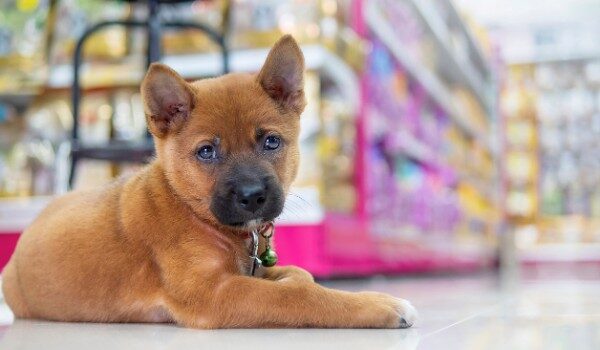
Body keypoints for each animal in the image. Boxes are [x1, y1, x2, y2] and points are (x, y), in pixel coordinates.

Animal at [2, 34, 418, 328]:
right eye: (206, 152)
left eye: (271, 142)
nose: (252, 196)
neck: (190, 208)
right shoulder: (213, 293)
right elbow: (300, 298)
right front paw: (376, 303)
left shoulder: (247, 272)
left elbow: (299, 275)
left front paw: (297, 278)